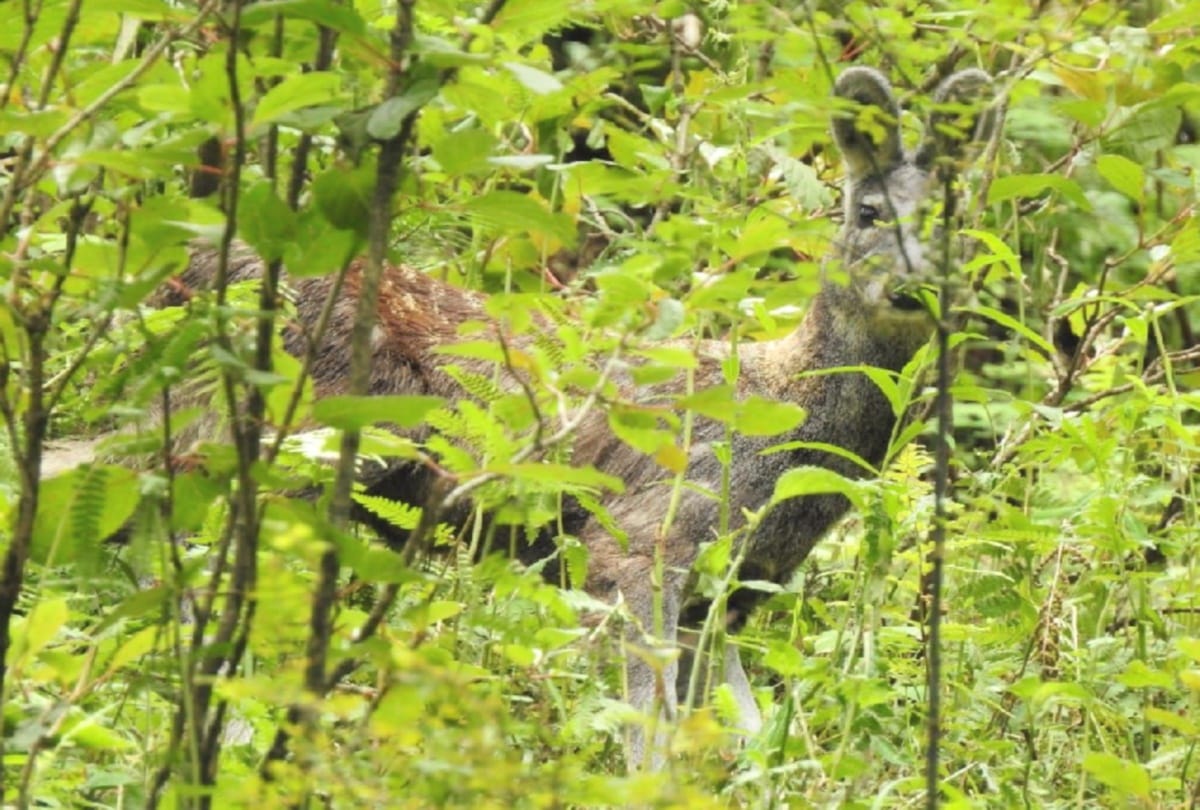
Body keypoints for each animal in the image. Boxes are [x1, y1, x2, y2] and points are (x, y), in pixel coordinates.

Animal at [146, 65, 997, 768]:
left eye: (957, 221)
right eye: (870, 209)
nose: (912, 288)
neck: (787, 424)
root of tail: (179, 269)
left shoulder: (732, 592)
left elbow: (751, 737)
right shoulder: (643, 543)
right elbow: (651, 733)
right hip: (276, 436)